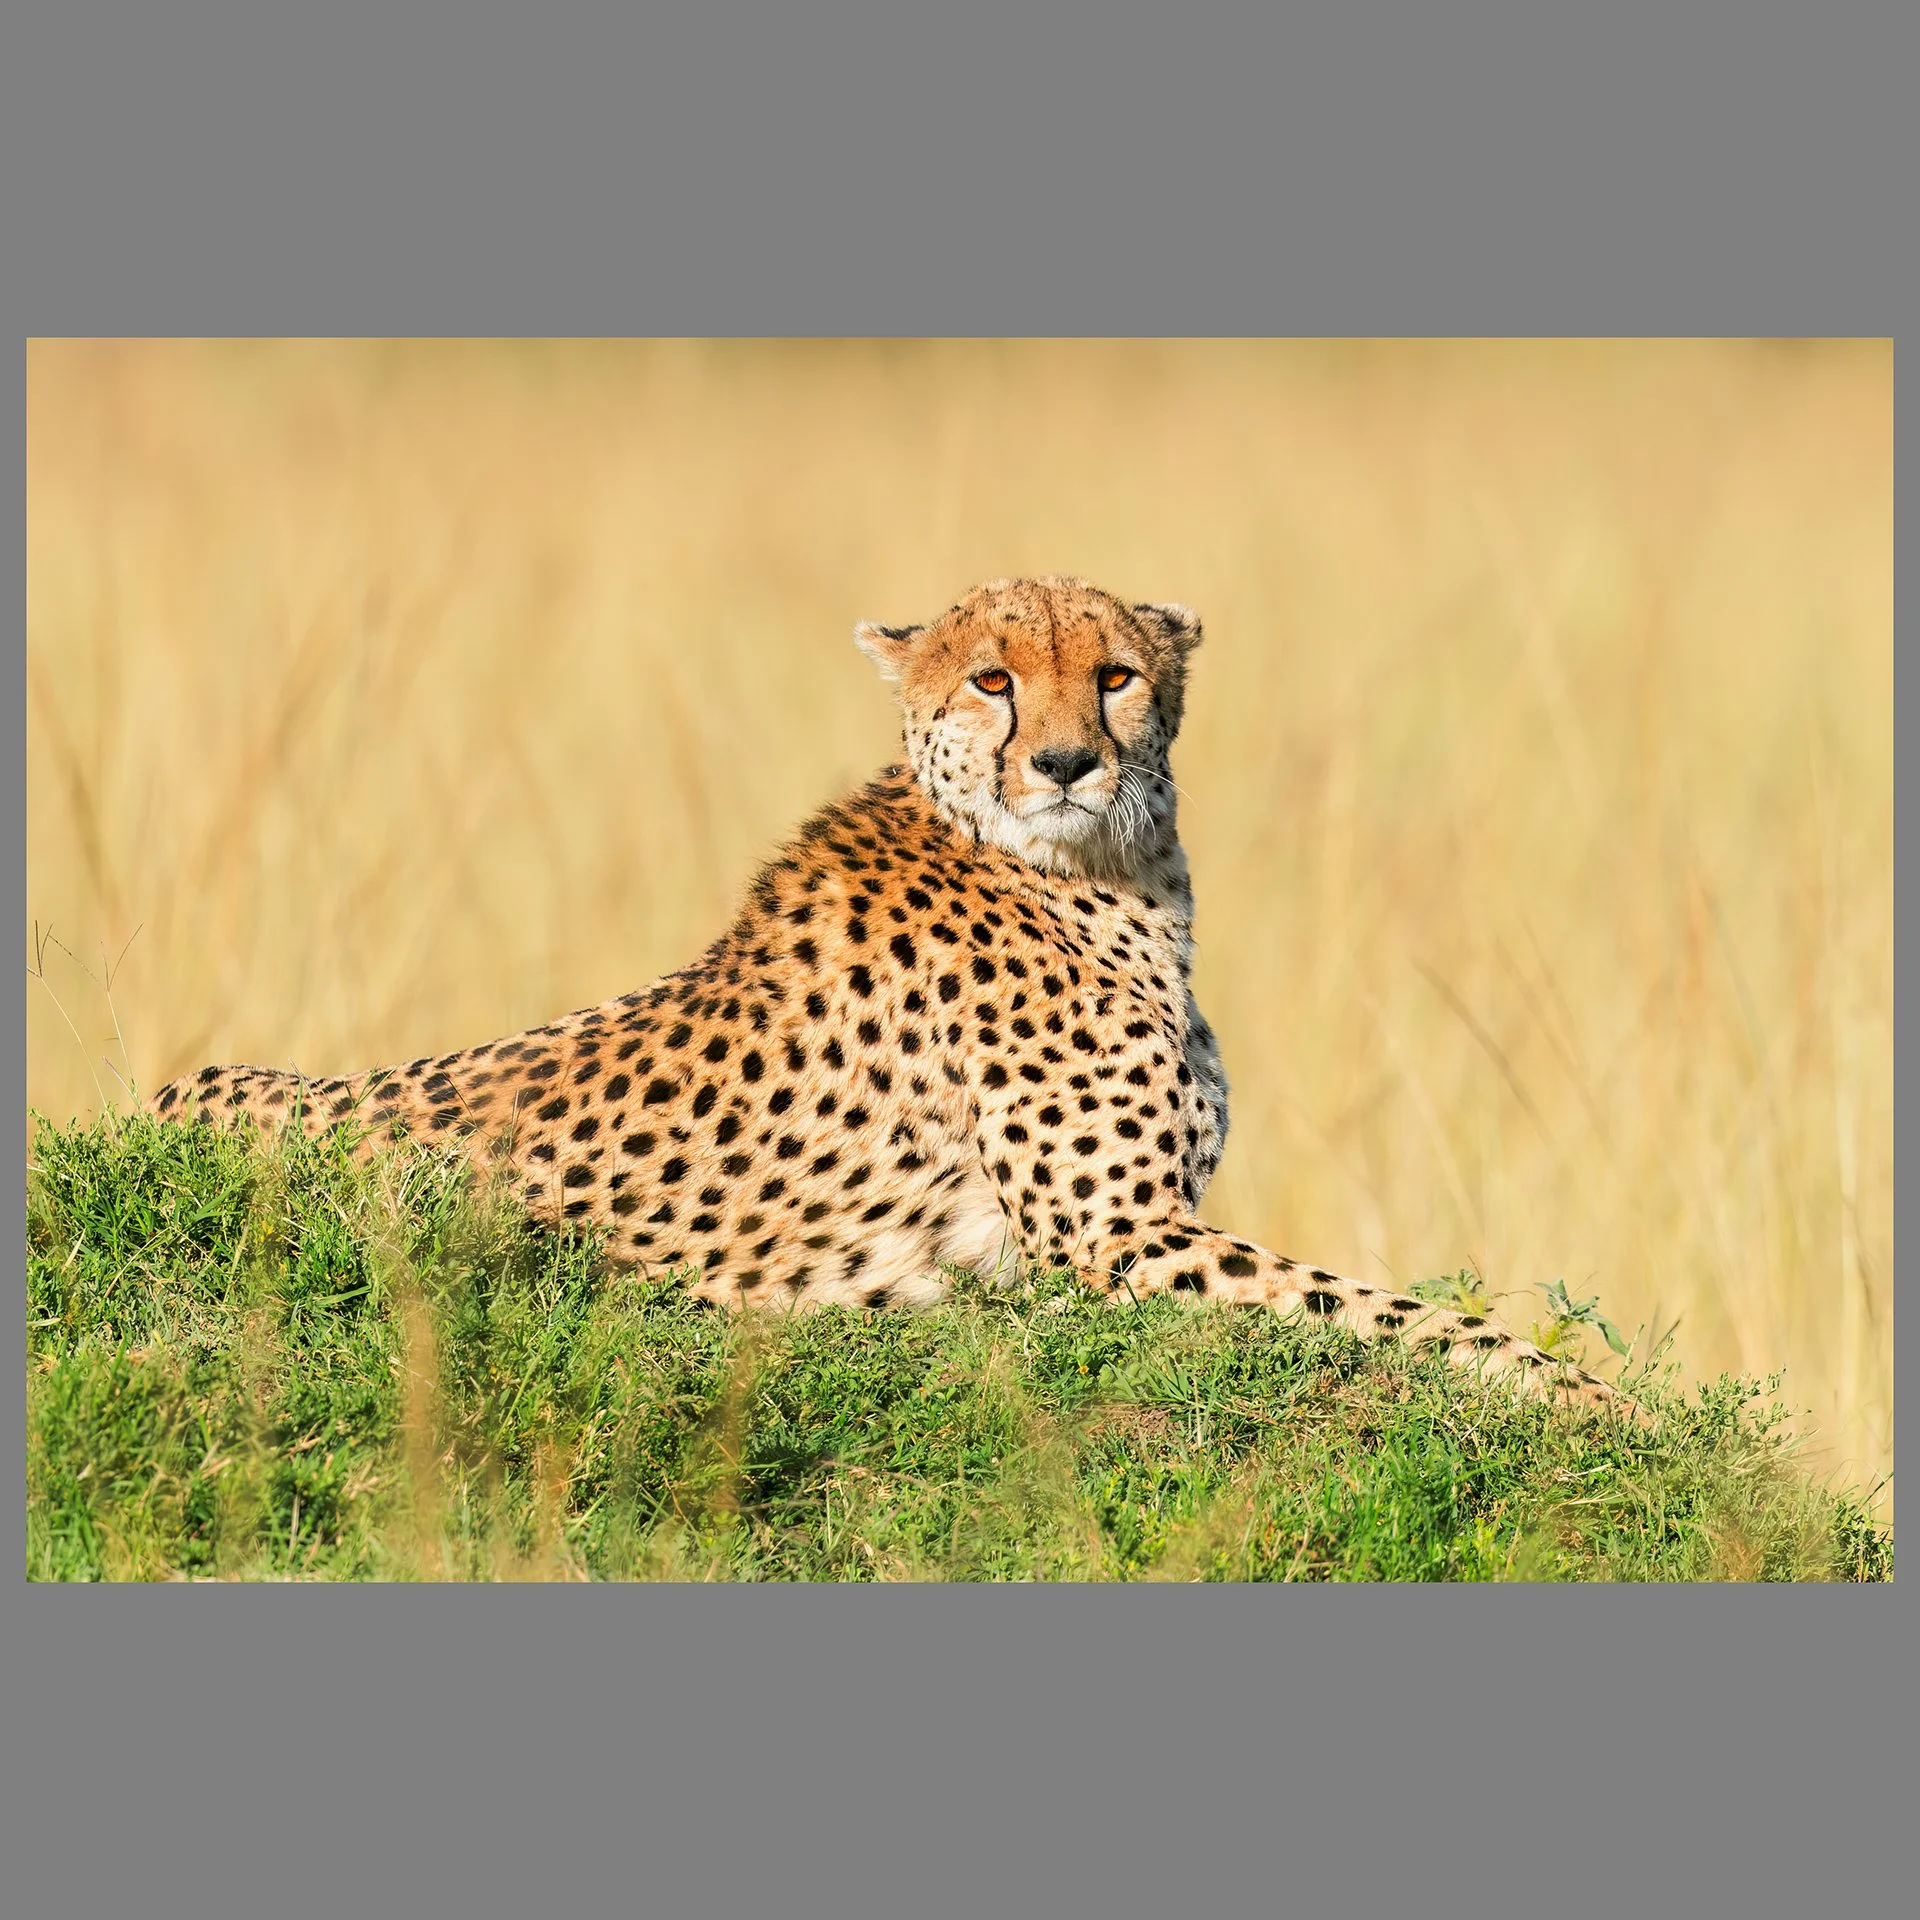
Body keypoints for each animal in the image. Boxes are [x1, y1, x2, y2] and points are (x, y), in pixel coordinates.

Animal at [149, 576, 1624, 1414]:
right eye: (992, 678)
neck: (1106, 875)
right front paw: (1599, 1400)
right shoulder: (1122, 1243)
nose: (1067, 761)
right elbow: (1403, 1317)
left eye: (1115, 674)